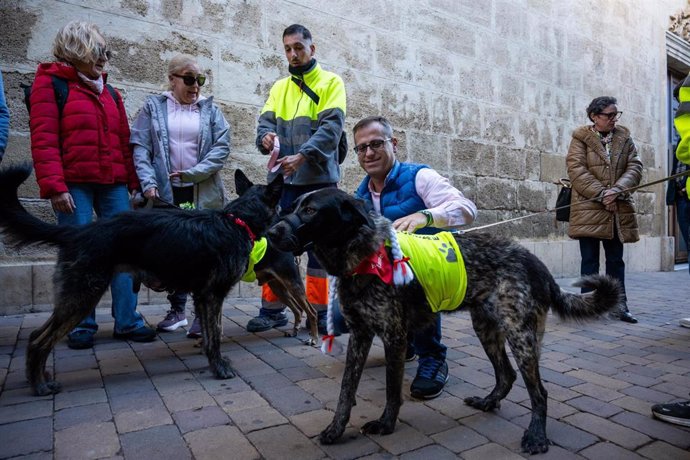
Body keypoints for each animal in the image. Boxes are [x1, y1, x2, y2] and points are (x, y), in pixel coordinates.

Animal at [0, 164, 310, 396]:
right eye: (280, 207)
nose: (285, 227)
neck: (236, 220)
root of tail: (78, 232)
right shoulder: (213, 296)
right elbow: (216, 333)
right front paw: (220, 367)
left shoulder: (202, 297)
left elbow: (210, 334)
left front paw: (210, 360)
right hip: (82, 297)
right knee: (39, 340)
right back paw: (39, 385)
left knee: (35, 336)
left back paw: (37, 378)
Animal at [266, 189, 620, 454]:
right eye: (290, 207)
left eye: (310, 210)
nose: (270, 232)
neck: (364, 255)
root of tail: (538, 264)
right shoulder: (361, 335)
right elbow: (345, 390)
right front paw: (336, 429)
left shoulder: (394, 336)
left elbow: (391, 389)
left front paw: (386, 424)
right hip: (486, 328)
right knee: (506, 375)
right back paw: (488, 402)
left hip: (520, 335)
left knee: (540, 392)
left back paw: (536, 436)